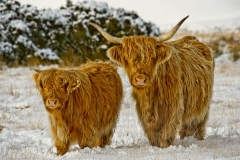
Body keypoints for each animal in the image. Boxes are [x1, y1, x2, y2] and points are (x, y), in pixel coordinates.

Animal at [89, 15, 215, 148]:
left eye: (152, 57)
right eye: (128, 58)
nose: (140, 79)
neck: (151, 94)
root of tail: (192, 39)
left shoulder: (172, 108)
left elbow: (166, 133)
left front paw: (164, 146)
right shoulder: (143, 112)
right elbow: (152, 134)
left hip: (203, 104)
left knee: (197, 123)